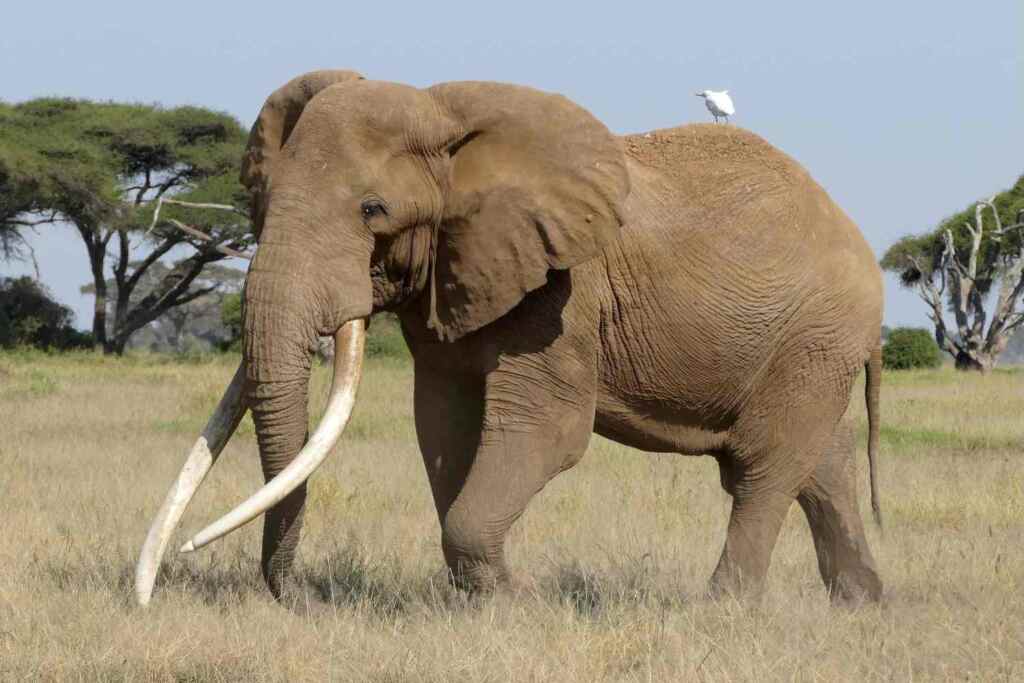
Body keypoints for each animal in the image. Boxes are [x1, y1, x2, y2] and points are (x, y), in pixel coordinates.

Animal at [136, 69, 884, 607]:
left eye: (372, 210)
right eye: (261, 204)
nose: (302, 598)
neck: (443, 118)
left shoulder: (564, 292)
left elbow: (544, 430)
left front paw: (517, 601)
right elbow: (444, 426)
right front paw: (482, 600)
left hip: (817, 334)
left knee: (763, 466)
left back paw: (723, 608)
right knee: (821, 463)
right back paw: (861, 603)